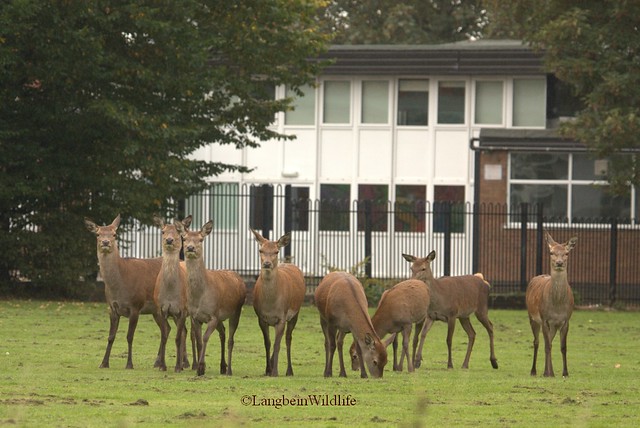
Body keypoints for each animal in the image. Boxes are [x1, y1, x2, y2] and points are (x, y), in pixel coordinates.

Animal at [84, 216, 165, 370]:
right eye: (97, 234)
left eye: (114, 234)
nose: (105, 242)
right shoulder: (112, 307)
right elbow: (111, 336)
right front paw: (103, 363)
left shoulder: (135, 306)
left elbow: (129, 336)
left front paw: (129, 364)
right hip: (156, 311)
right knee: (167, 330)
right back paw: (158, 362)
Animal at [154, 216, 196, 372]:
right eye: (163, 231)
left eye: (179, 232)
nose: (169, 240)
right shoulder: (161, 309)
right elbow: (164, 335)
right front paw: (162, 366)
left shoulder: (182, 309)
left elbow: (177, 338)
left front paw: (177, 367)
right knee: (184, 332)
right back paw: (185, 362)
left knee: (190, 334)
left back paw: (192, 364)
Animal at [178, 221, 248, 374]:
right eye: (184, 238)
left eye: (200, 239)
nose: (190, 248)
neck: (200, 296)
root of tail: (239, 277)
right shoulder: (195, 317)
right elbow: (198, 340)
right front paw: (199, 367)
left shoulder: (213, 316)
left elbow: (205, 338)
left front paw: (201, 366)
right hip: (221, 316)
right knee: (223, 332)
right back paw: (222, 366)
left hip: (236, 311)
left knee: (230, 339)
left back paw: (229, 370)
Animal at [250, 229, 304, 376]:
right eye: (260, 250)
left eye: (276, 251)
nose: (267, 264)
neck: (271, 305)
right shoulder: (261, 318)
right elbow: (268, 343)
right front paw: (267, 370)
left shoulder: (282, 317)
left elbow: (277, 344)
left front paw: (274, 372)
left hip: (295, 313)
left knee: (288, 338)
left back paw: (289, 370)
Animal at [524, 232, 580, 376]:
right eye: (551, 252)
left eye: (566, 253)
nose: (559, 263)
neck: (557, 306)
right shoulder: (545, 319)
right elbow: (547, 345)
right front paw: (547, 373)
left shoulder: (565, 320)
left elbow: (563, 347)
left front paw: (565, 372)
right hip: (532, 317)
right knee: (537, 342)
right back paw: (534, 371)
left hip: (553, 326)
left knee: (549, 341)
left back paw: (549, 371)